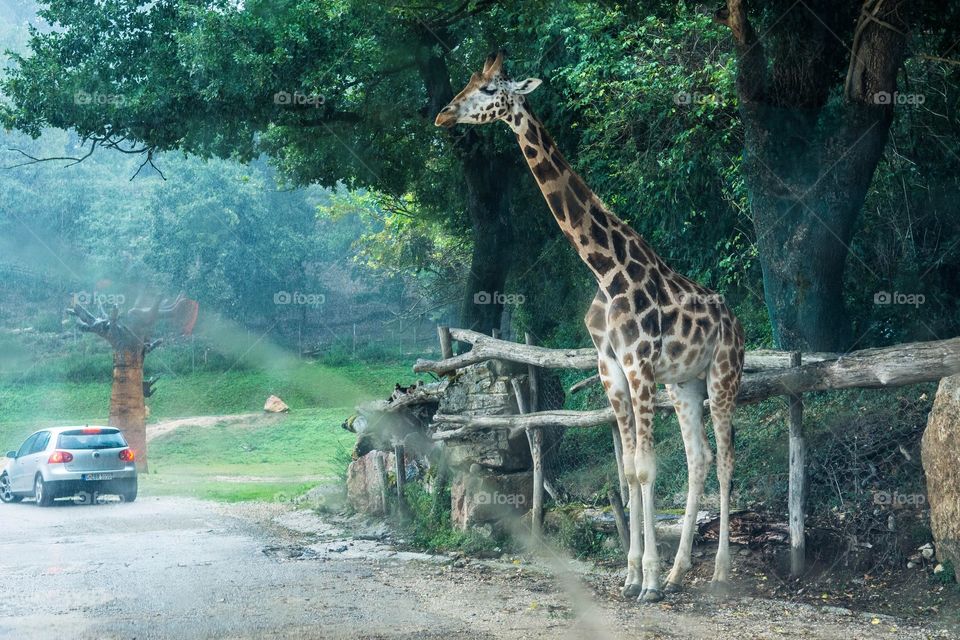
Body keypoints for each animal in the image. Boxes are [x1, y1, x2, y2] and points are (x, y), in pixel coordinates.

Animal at [438, 53, 748, 600]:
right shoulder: (612, 369)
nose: (444, 115)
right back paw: (679, 571)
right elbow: (628, 471)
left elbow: (644, 468)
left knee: (727, 459)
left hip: (722, 375)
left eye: (491, 87)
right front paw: (632, 575)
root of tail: (738, 325)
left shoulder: (640, 364)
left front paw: (647, 582)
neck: (605, 269)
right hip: (685, 384)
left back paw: (718, 574)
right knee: (700, 459)